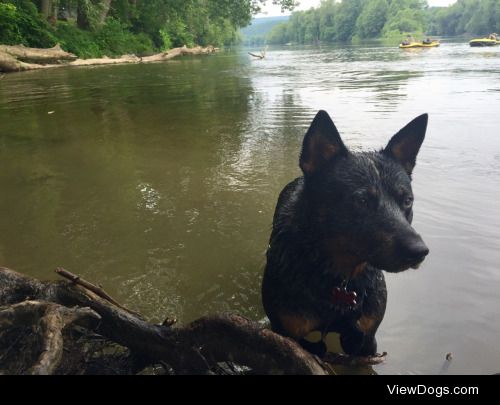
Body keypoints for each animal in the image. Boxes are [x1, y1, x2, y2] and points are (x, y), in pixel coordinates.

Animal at [262, 109, 430, 356]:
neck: (340, 283)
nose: (419, 251)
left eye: (407, 200)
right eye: (362, 201)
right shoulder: (288, 334)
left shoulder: (366, 338)